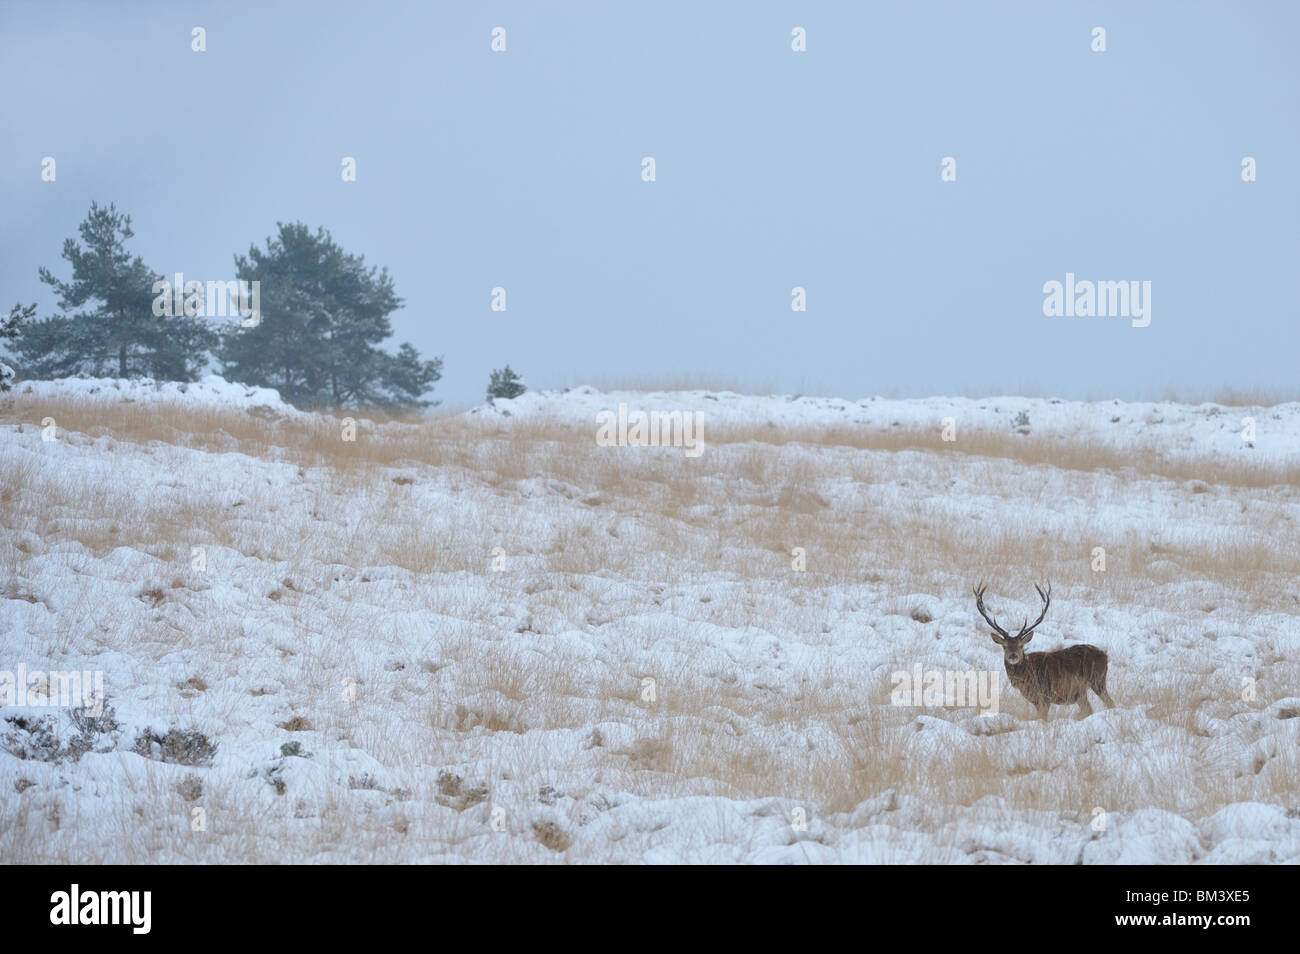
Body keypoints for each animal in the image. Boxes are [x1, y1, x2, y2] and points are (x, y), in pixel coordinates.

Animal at [973, 582, 1114, 719]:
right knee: (1088, 709)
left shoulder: (1045, 695)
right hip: (1080, 692)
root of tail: (1105, 655)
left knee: (1108, 703)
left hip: (1097, 680)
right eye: (1004, 646)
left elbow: (1043, 718)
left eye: (1021, 645)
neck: (1027, 675)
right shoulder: (1035, 700)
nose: (1013, 656)